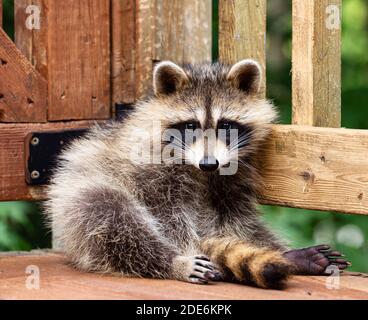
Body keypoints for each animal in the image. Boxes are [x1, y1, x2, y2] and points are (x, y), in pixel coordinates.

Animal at [44, 58, 350, 288]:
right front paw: (187, 251)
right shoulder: (147, 170)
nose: (209, 163)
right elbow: (167, 214)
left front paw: (274, 251)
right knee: (108, 213)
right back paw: (172, 262)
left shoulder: (234, 174)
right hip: (78, 203)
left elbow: (237, 218)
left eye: (226, 125)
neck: (201, 172)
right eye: (190, 125)